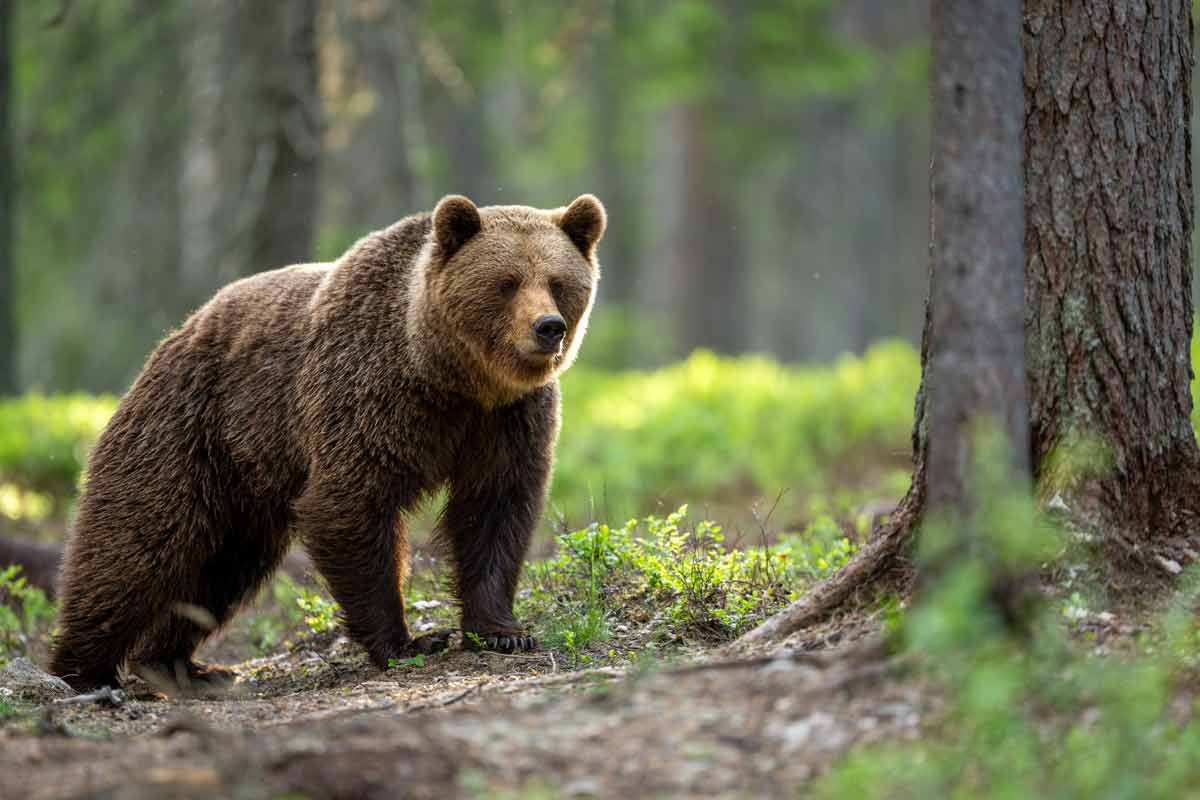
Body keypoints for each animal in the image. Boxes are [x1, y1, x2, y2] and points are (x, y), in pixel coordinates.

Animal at [49, 193, 606, 691]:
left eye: (557, 283)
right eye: (506, 283)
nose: (548, 327)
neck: (449, 376)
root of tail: (175, 335)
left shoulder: (506, 419)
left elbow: (495, 507)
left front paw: (503, 631)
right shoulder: (367, 394)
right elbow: (350, 504)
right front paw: (409, 641)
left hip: (244, 485)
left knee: (222, 570)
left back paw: (180, 666)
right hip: (186, 431)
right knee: (134, 547)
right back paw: (84, 671)